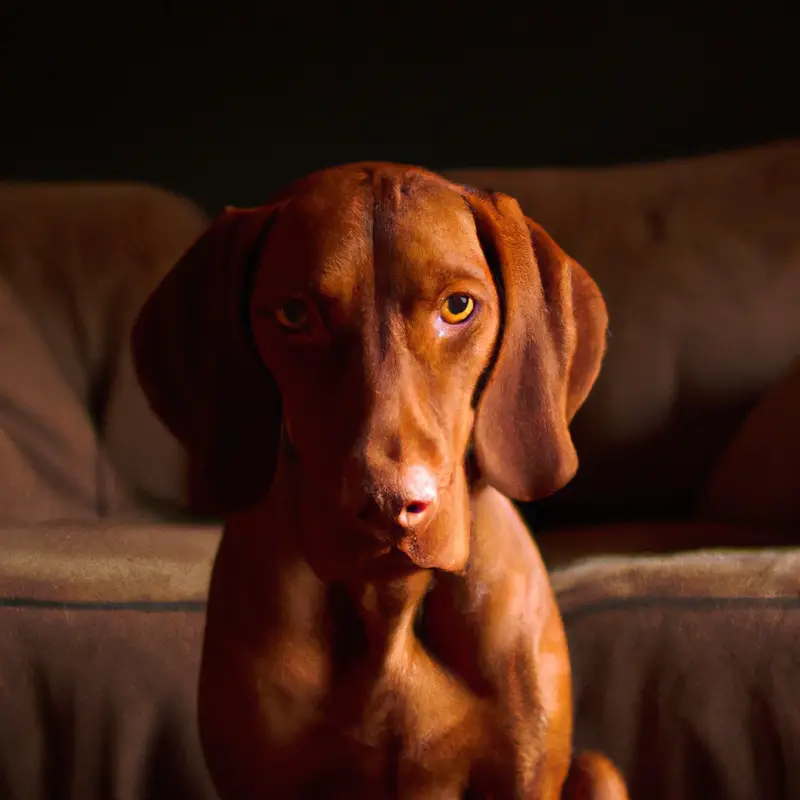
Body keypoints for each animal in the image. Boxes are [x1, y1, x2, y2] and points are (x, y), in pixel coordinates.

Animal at [133, 159, 632, 796]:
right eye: (294, 314)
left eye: (458, 306)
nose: (393, 504)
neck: (388, 606)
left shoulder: (525, 772)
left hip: (596, 771)